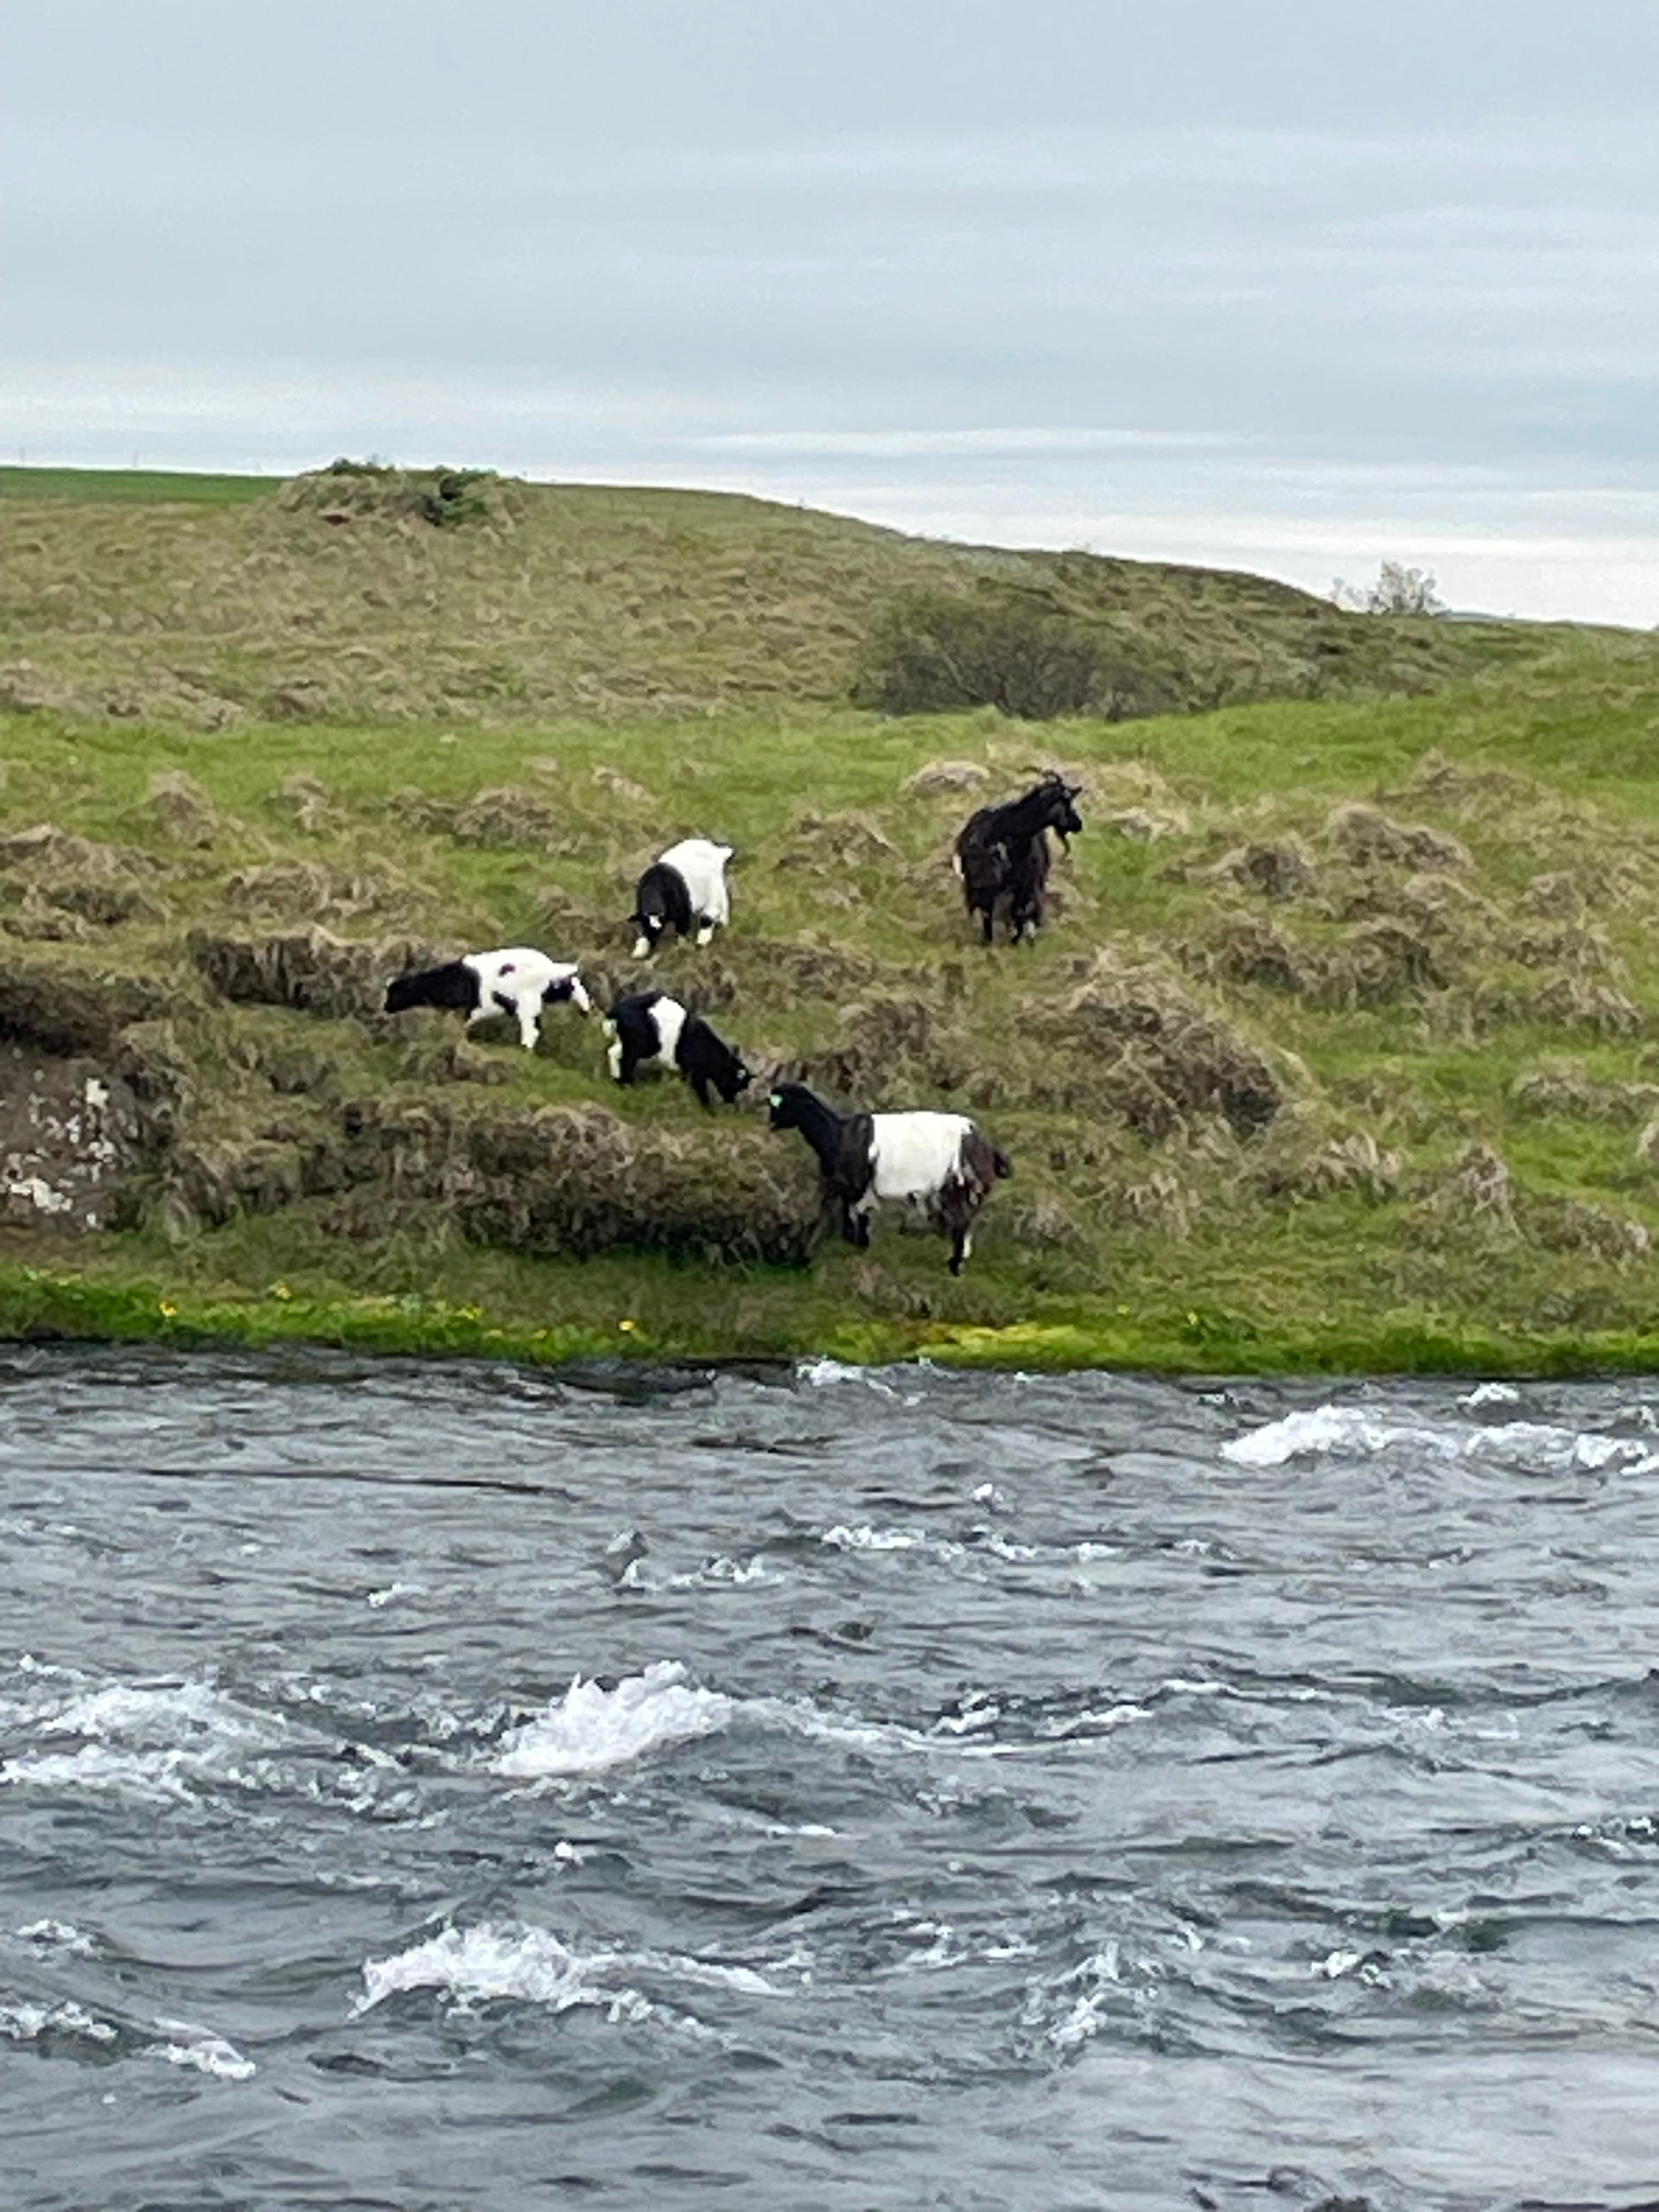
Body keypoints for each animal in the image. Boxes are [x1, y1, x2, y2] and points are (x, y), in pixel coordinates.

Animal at [387, 946, 592, 1048]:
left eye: (396, 993)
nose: (386, 1008)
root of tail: (549, 966)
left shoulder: (479, 1007)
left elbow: (465, 1022)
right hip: (547, 991)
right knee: (571, 984)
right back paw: (585, 1010)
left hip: (528, 1000)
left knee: (532, 1029)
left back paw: (524, 1049)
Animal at [606, 995, 752, 1115]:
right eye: (737, 1086)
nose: (731, 1101)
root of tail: (616, 1012)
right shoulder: (696, 1072)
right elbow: (701, 1090)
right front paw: (709, 1111)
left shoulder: (687, 1071)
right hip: (644, 1044)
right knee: (626, 1059)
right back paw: (628, 1084)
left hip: (628, 1040)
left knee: (613, 1052)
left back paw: (617, 1080)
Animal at [628, 832, 734, 955]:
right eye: (645, 926)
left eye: (660, 929)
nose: (653, 943)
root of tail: (718, 852)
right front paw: (640, 950)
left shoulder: (682, 913)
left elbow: (681, 931)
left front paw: (681, 947)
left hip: (714, 886)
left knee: (713, 910)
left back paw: (706, 937)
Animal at [765, 1075, 1013, 1274]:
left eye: (782, 1104)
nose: (771, 1124)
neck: (837, 1134)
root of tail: (984, 1145)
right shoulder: (852, 1186)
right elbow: (852, 1212)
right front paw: (854, 1243)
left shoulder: (853, 1183)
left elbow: (845, 1211)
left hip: (958, 1184)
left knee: (961, 1222)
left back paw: (955, 1265)